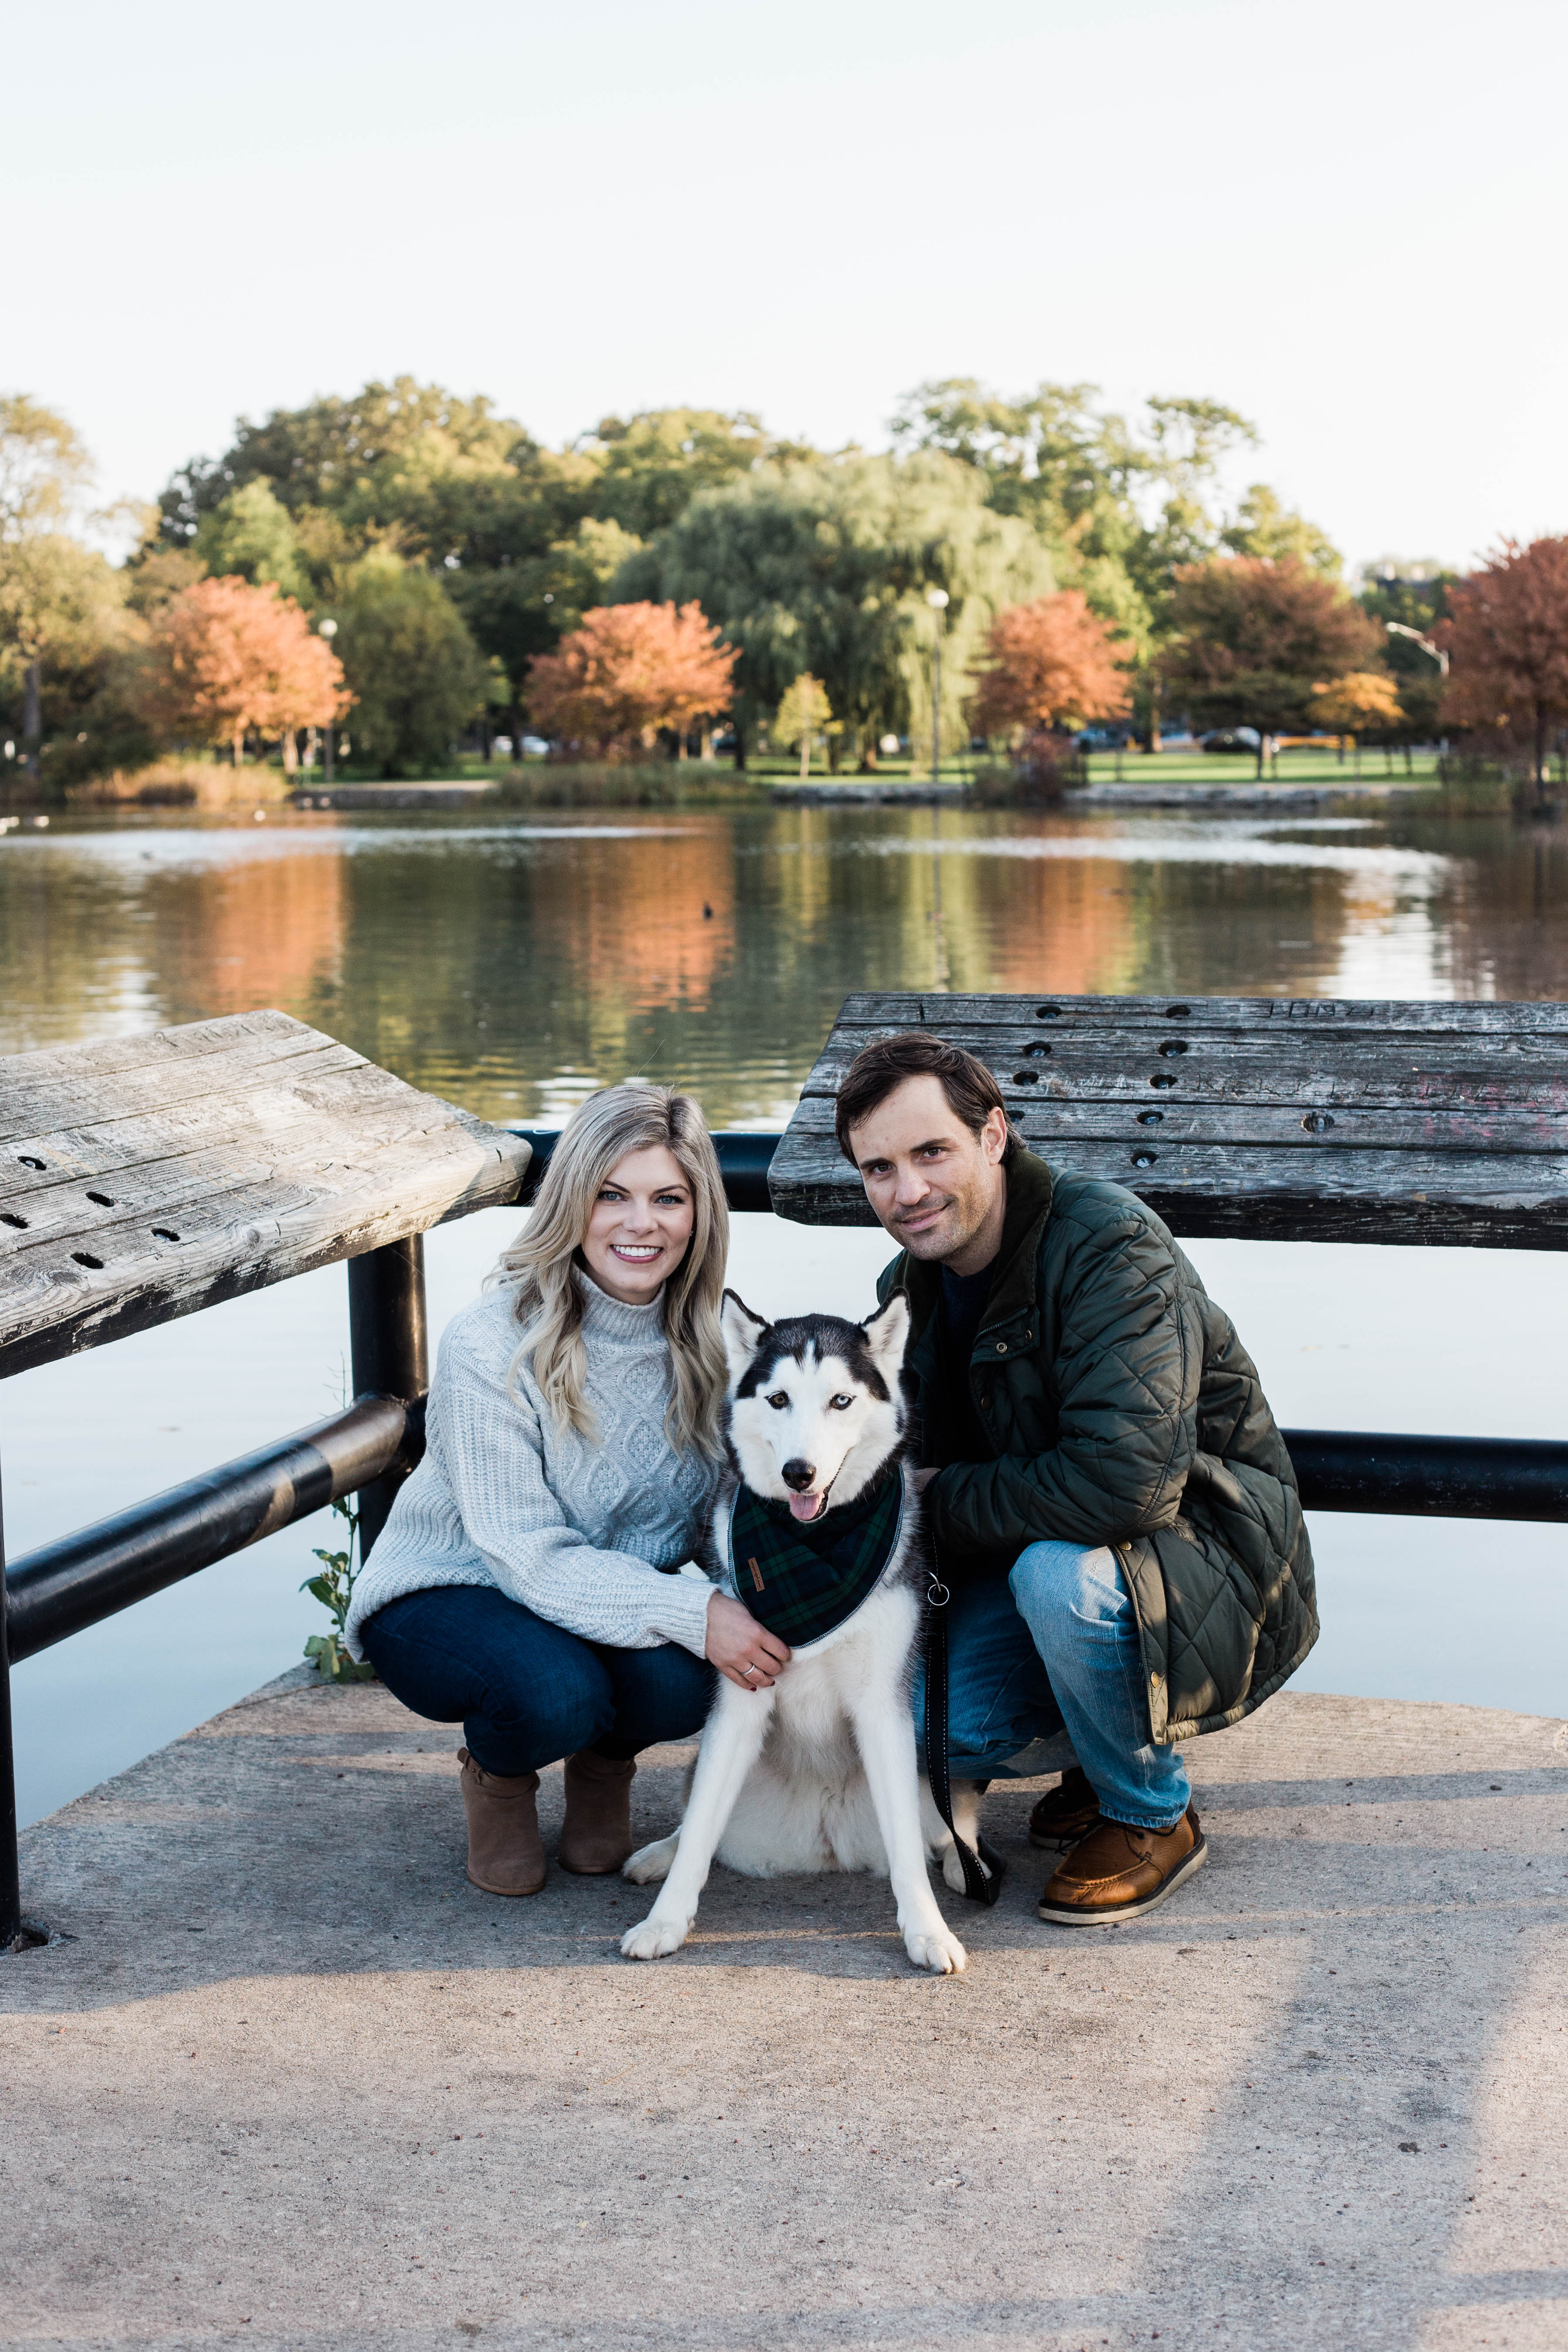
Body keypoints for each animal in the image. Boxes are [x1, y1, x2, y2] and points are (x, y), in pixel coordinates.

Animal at [616, 1298, 973, 1975]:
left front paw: (928, 1930)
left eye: (840, 1400)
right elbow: (699, 1831)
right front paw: (664, 1922)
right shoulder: (740, 1692)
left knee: (942, 1831)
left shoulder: (883, 1707)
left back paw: (964, 1863)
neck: (817, 1547)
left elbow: (908, 1853)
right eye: (778, 1399)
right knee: (697, 1820)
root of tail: (824, 1836)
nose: (798, 1473)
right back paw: (657, 1855)